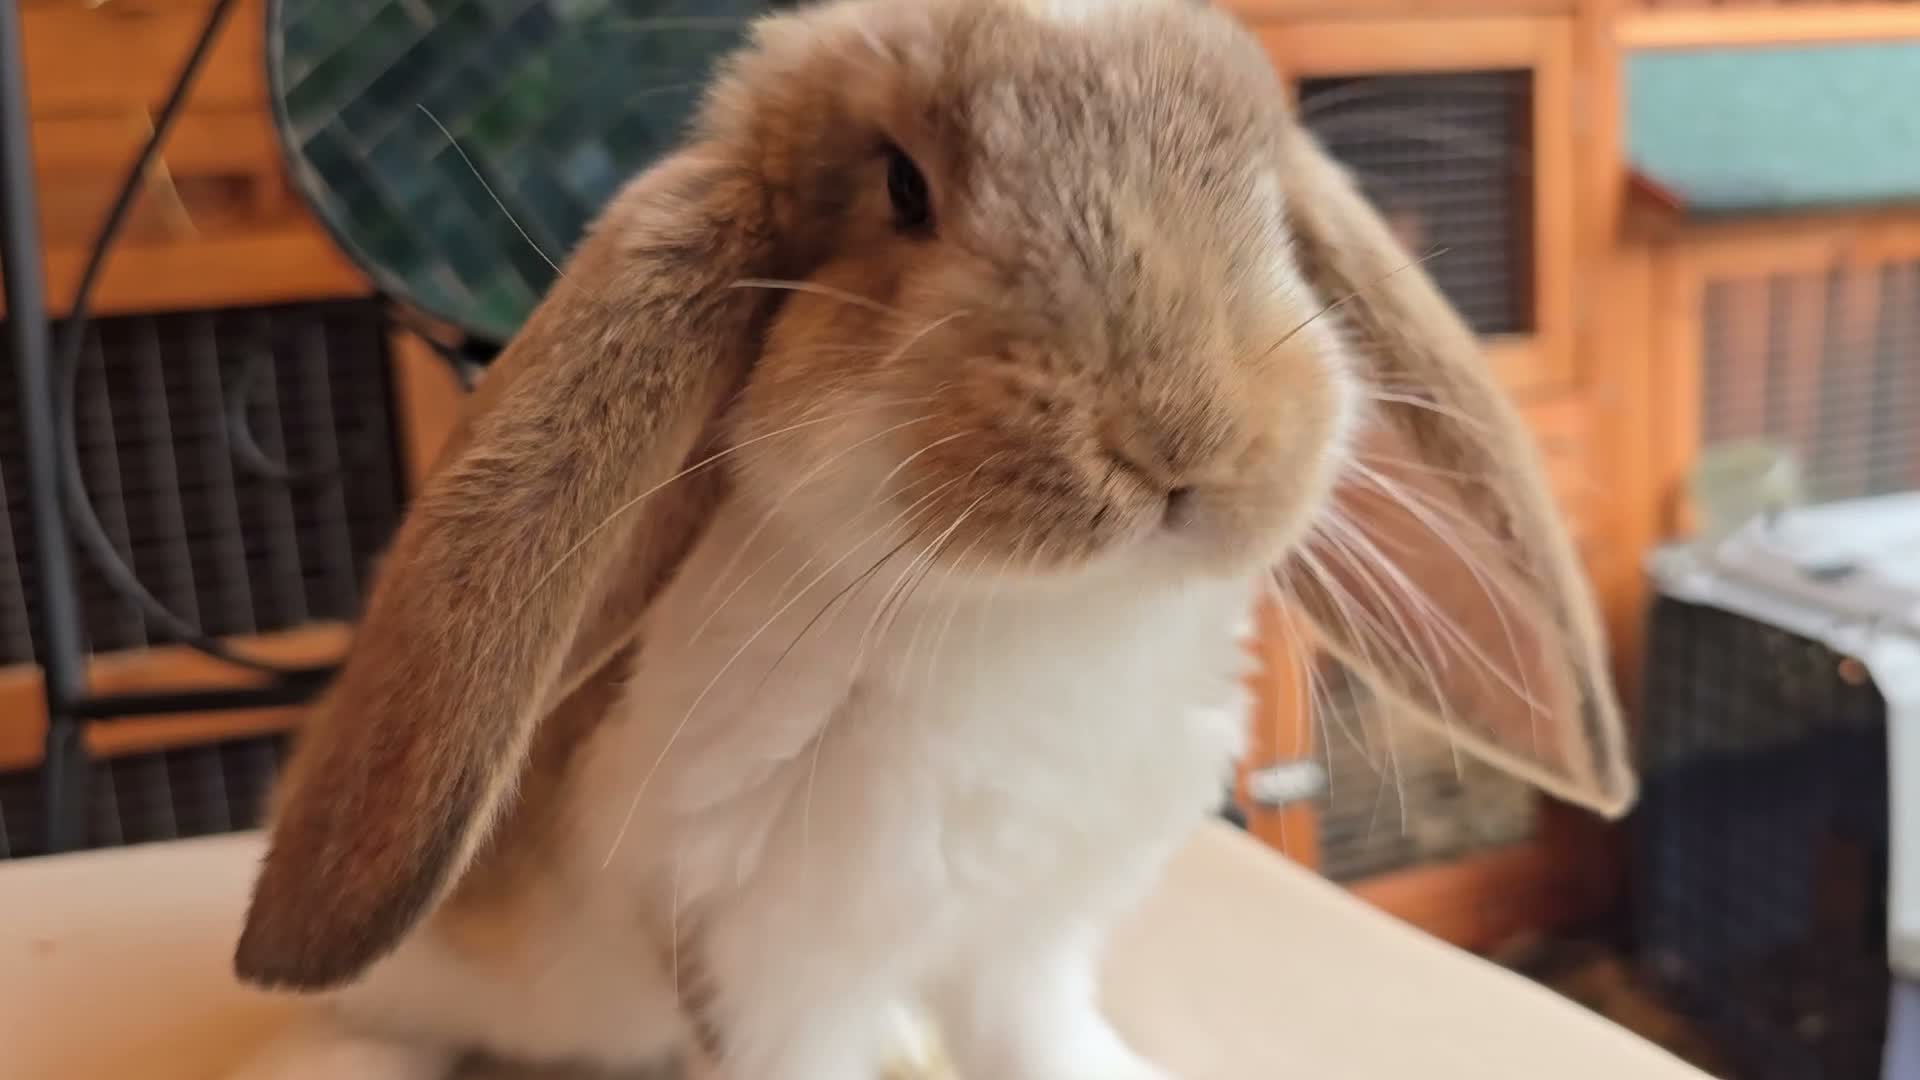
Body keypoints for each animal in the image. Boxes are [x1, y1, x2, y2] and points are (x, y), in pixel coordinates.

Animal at [227, 1, 1635, 1078]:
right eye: (904, 190)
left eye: (1269, 214)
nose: (1181, 435)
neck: (1039, 620)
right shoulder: (772, 966)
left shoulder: (1025, 944)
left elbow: (1038, 1039)